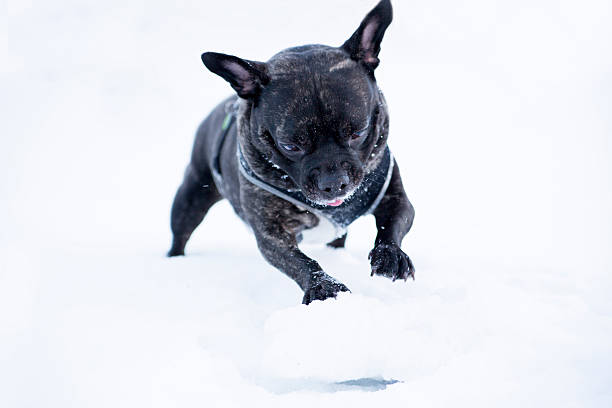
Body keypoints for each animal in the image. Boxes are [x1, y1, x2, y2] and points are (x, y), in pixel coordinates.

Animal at [167, 0, 416, 304]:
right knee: (181, 233)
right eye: (290, 146)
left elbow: (392, 223)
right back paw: (174, 262)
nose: (334, 183)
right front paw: (324, 287)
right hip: (191, 195)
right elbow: (298, 261)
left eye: (358, 132)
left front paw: (391, 257)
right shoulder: (271, 232)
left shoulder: (394, 197)